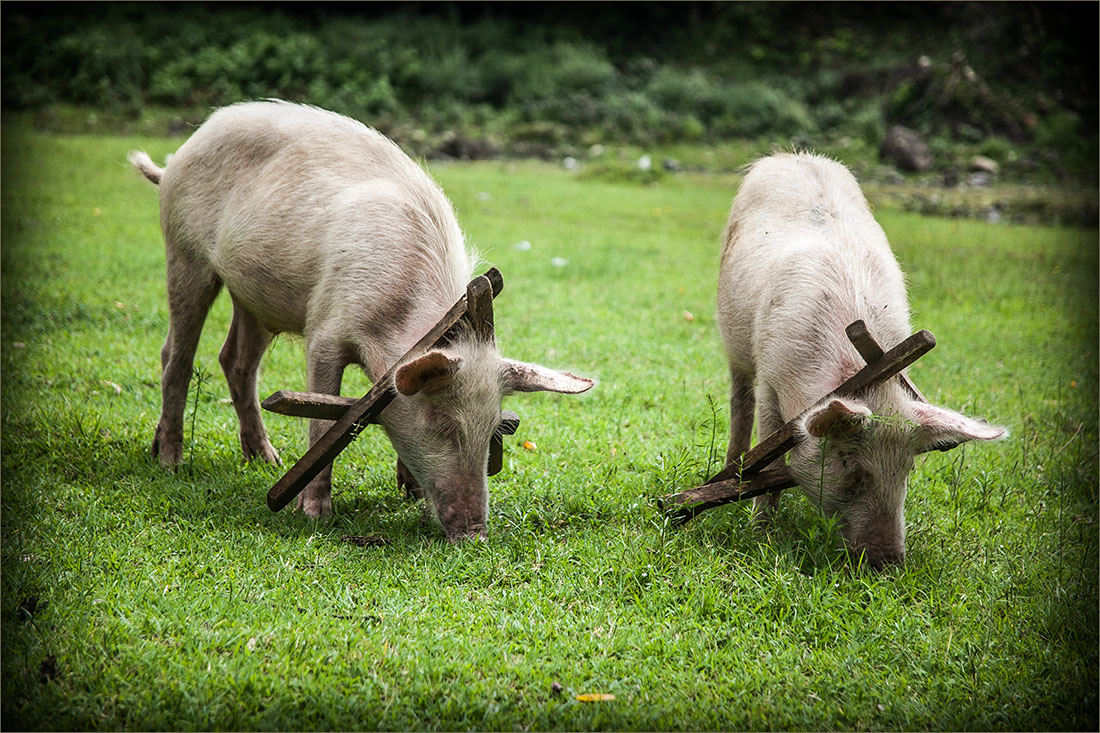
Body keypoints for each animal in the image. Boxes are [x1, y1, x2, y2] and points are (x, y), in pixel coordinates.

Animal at [130, 100, 594, 539]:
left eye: (495, 429)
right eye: (442, 422)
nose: (475, 534)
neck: (393, 323)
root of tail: (180, 153)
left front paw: (408, 490)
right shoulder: (324, 331)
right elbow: (322, 420)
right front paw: (314, 516)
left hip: (255, 296)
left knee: (236, 361)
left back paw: (265, 459)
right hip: (184, 253)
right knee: (176, 355)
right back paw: (171, 463)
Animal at [717, 150, 1003, 567]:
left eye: (907, 469)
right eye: (850, 466)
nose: (890, 563)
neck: (862, 374)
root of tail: (792, 155)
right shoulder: (771, 377)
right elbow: (771, 459)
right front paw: (762, 537)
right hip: (733, 342)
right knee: (740, 402)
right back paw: (731, 472)